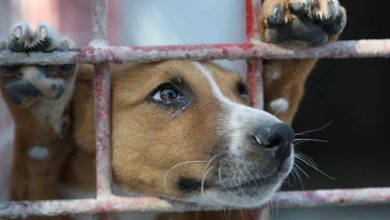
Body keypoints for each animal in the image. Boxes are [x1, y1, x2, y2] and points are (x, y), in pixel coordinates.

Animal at [0, 0, 346, 220]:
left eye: (243, 91)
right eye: (167, 94)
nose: (282, 137)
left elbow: (279, 96)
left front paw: (297, 32)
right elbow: (34, 166)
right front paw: (38, 107)